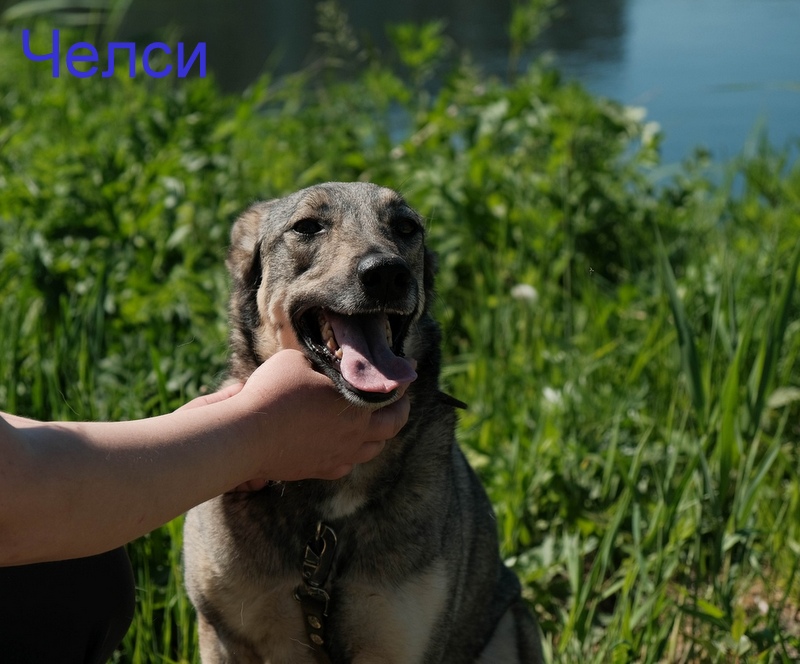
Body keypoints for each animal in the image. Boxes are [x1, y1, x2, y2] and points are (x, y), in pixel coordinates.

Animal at [183, 182, 543, 663]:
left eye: (406, 227)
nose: (387, 274)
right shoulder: (222, 632)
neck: (324, 526)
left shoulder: (400, 645)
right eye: (307, 226)